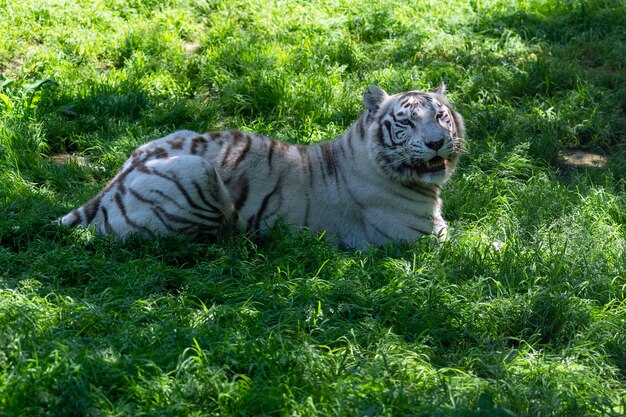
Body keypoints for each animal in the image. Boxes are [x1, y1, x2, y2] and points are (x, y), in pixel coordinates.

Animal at [57, 83, 464, 249]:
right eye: (406, 122)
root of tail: (114, 182)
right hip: (199, 170)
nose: (435, 142)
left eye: (440, 117)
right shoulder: (419, 239)